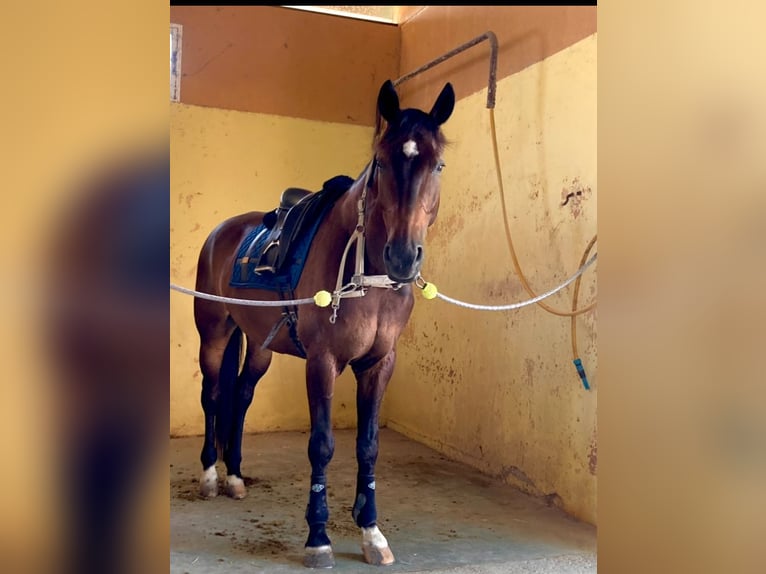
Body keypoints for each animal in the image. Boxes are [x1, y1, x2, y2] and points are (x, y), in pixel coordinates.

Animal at [192, 79, 455, 568]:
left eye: (438, 164)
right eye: (382, 162)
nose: (403, 258)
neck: (367, 275)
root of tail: (222, 231)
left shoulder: (379, 364)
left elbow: (368, 446)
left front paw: (371, 531)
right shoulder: (323, 362)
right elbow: (323, 444)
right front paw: (318, 537)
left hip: (259, 344)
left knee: (242, 395)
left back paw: (235, 476)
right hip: (214, 333)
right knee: (213, 394)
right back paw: (210, 476)